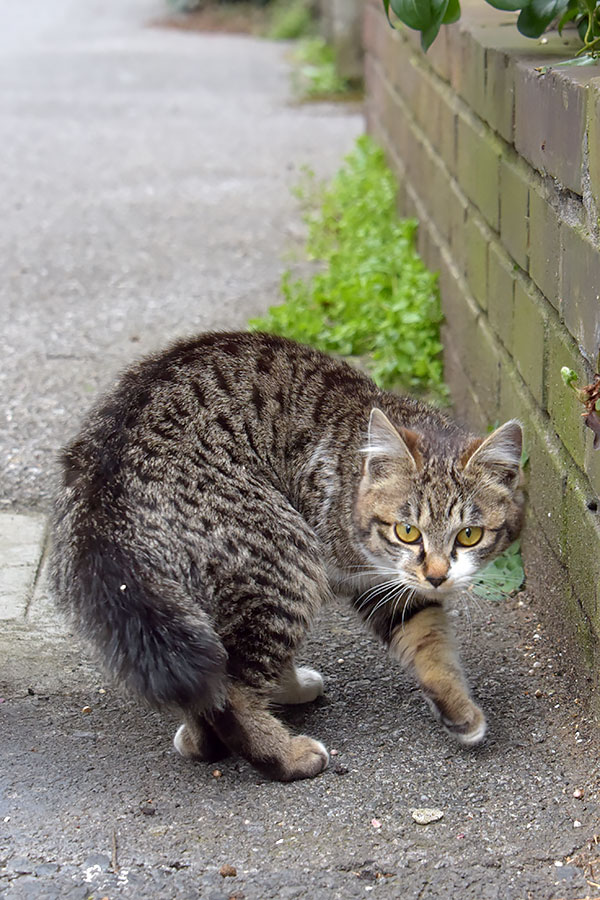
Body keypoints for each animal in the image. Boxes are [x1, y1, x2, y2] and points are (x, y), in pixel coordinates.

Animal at [49, 330, 524, 780]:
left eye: (469, 535)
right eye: (407, 531)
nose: (438, 576)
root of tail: (107, 499)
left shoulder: (388, 585)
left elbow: (427, 642)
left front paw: (458, 709)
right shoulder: (359, 570)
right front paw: (288, 691)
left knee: (209, 675)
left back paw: (202, 740)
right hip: (283, 561)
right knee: (232, 689)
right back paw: (285, 755)